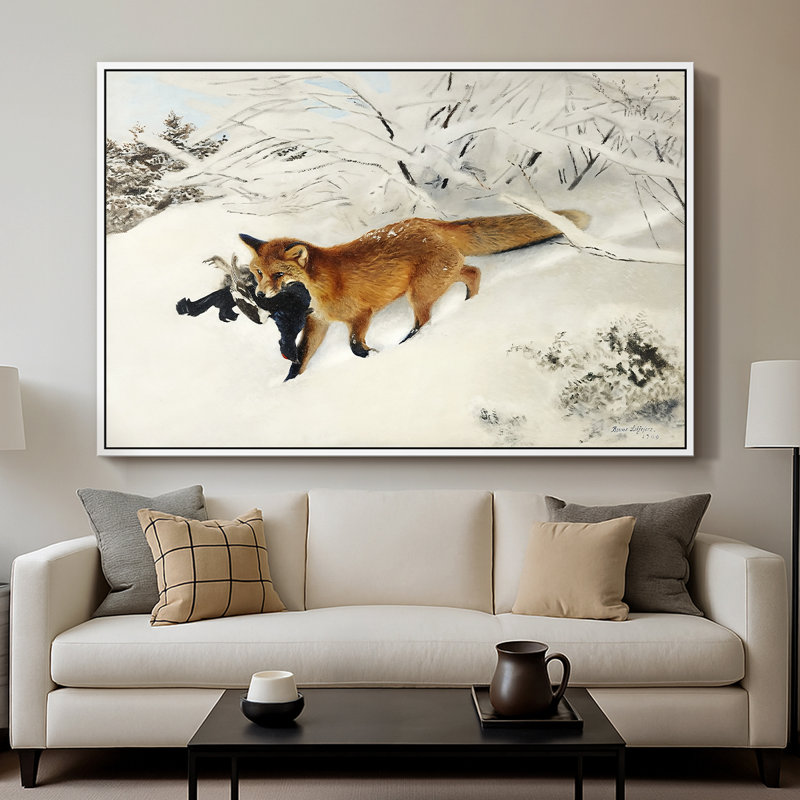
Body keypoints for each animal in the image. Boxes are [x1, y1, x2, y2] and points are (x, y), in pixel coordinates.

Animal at [240, 210, 589, 380]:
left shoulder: (361, 315)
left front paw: (375, 355)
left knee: (425, 320)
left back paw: (410, 342)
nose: (260, 294)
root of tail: (430, 223)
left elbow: (355, 347)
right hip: (439, 279)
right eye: (258, 272)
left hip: (420, 293)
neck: (321, 286)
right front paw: (289, 384)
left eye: (278, 275)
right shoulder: (318, 323)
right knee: (473, 272)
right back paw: (470, 304)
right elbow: (301, 360)